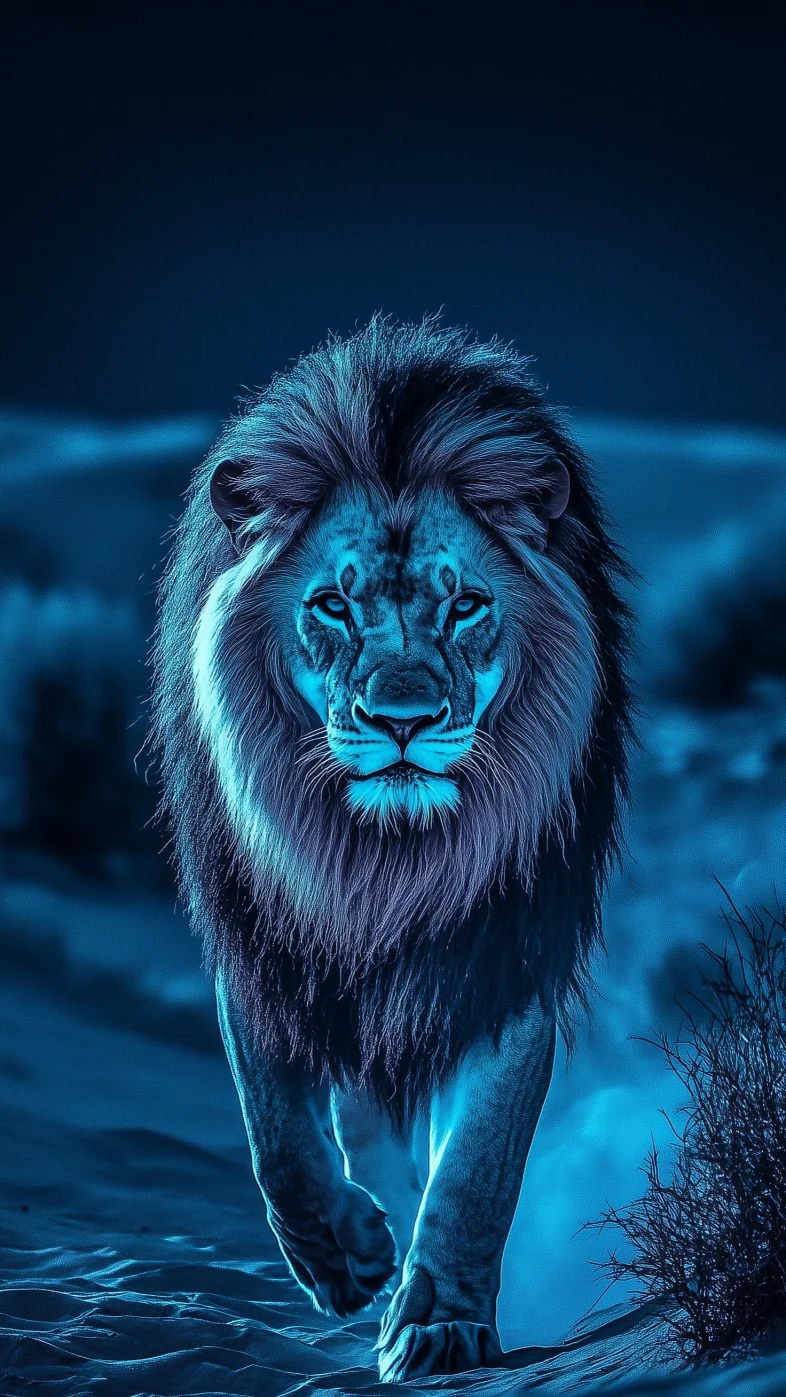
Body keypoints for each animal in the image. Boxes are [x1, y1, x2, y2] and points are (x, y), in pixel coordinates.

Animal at [152, 316, 633, 1381]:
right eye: (333, 605)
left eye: (466, 606)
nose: (402, 718)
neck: (384, 862)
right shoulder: (260, 935)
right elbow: (276, 1132)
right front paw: (346, 1257)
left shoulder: (507, 951)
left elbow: (479, 1167)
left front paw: (439, 1321)